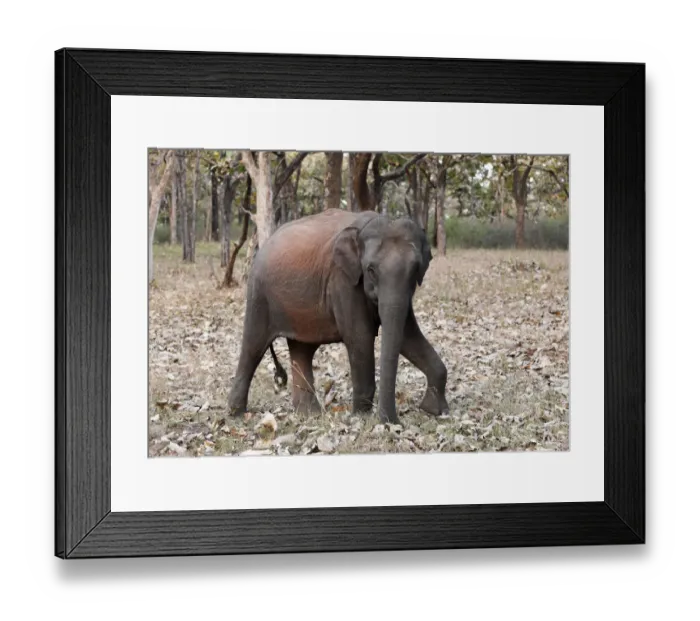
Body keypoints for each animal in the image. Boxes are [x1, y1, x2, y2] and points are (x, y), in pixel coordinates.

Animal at [227, 208, 449, 424]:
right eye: (370, 270)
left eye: (415, 269)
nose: (393, 422)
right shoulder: (342, 281)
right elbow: (360, 337)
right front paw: (360, 417)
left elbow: (407, 337)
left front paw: (434, 410)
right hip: (259, 294)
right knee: (253, 346)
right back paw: (236, 415)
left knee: (302, 350)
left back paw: (309, 415)